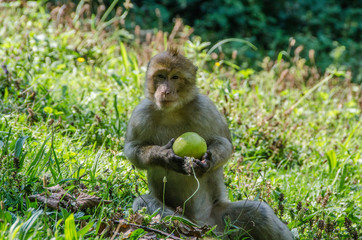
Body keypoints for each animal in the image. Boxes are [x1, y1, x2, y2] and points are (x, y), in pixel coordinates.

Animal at [123, 47, 292, 240]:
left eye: (175, 77)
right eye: (160, 76)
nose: (165, 91)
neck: (172, 111)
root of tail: (205, 225)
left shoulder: (205, 108)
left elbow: (224, 143)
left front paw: (207, 161)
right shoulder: (141, 114)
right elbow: (132, 150)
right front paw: (164, 156)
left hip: (222, 220)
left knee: (260, 213)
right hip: (190, 221)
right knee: (145, 202)